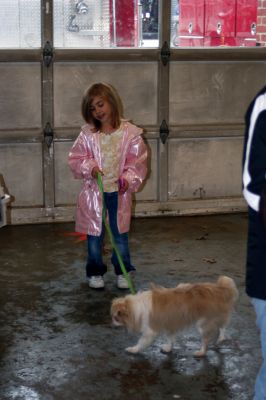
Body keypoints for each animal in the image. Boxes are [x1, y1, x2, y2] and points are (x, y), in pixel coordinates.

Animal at [110, 276, 239, 356]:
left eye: (116, 318)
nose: (112, 323)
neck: (135, 307)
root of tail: (219, 289)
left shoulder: (150, 331)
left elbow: (141, 342)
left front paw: (133, 349)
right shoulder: (169, 324)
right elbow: (170, 338)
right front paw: (168, 348)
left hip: (202, 324)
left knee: (206, 339)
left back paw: (201, 352)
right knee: (222, 327)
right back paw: (221, 338)